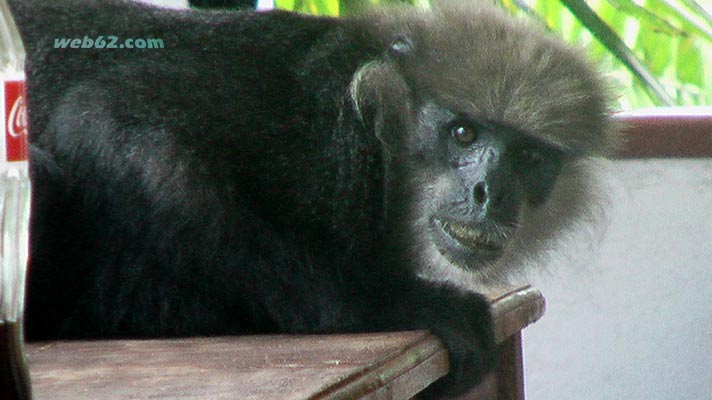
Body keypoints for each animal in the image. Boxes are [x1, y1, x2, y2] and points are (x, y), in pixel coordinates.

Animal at [10, 0, 619, 397]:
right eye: (463, 134)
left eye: (529, 159)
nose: (487, 193)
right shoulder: (306, 127)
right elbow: (109, 117)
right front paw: (392, 302)